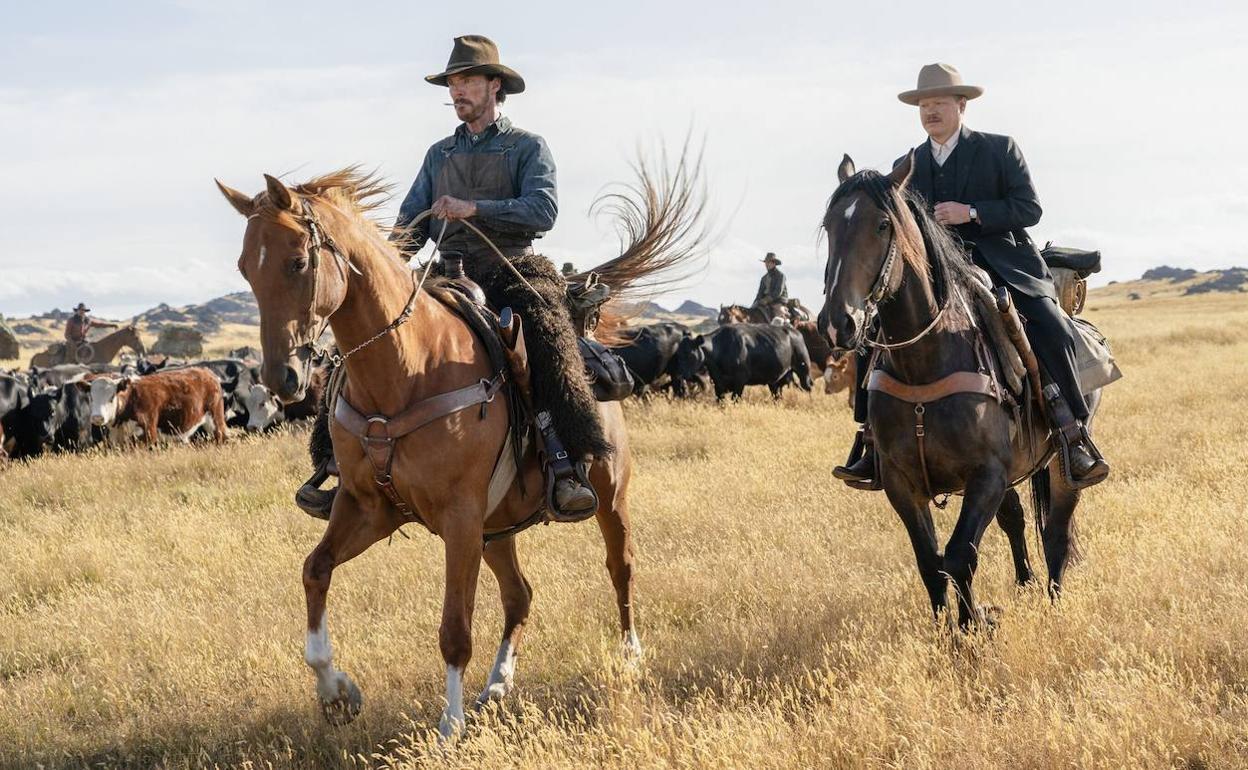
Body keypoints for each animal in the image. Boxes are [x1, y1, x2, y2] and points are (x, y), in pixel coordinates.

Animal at [89, 366, 225, 444]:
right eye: (91, 398)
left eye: (112, 397)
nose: (97, 417)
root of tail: (207, 372)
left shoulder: (147, 433)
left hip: (215, 421)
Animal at [214, 162, 703, 738]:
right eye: (246, 269)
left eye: (297, 261)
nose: (282, 379)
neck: (408, 367)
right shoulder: (368, 508)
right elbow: (315, 571)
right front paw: (337, 692)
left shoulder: (459, 516)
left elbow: (454, 628)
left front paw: (450, 726)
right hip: (497, 529)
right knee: (519, 594)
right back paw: (497, 685)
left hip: (607, 496)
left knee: (620, 567)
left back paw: (628, 656)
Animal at [673, 321, 818, 399]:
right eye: (678, 354)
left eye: (690, 354)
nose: (682, 374)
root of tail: (795, 332)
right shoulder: (719, 385)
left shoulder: (739, 382)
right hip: (775, 381)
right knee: (777, 395)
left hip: (804, 370)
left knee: (809, 387)